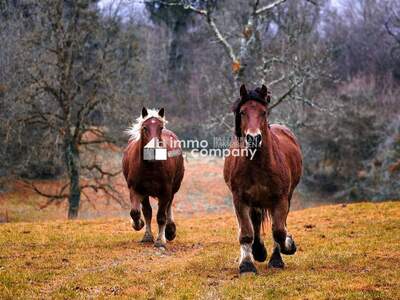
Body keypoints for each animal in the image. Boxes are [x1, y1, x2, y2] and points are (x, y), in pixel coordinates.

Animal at [122, 108, 185, 248]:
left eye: (160, 127)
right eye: (145, 127)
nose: (153, 149)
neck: (150, 166)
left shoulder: (165, 190)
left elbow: (161, 216)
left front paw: (161, 240)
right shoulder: (136, 189)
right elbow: (137, 212)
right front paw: (140, 227)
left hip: (173, 188)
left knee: (168, 206)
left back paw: (170, 231)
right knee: (147, 211)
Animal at [223, 84, 302, 274]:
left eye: (263, 112)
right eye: (243, 112)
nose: (253, 138)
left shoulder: (280, 198)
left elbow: (279, 231)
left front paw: (287, 248)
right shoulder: (240, 199)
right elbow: (246, 232)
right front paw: (247, 264)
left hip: (285, 197)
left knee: (277, 224)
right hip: (255, 201)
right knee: (256, 221)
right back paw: (257, 251)